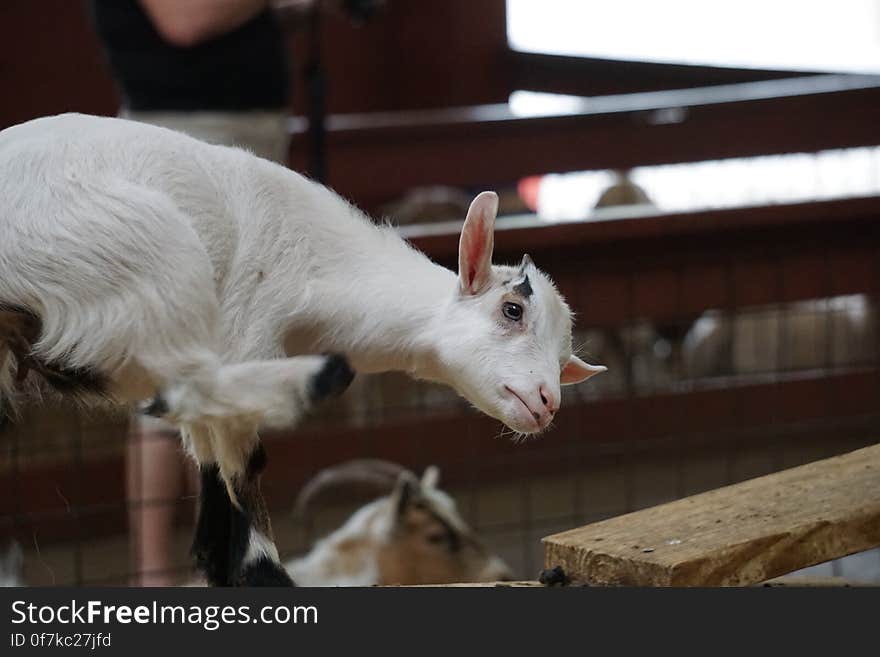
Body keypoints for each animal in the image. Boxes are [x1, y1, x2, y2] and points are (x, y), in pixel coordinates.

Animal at [0, 111, 604, 584]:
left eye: (563, 362)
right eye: (512, 309)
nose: (547, 402)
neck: (319, 271)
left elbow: (213, 492)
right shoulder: (243, 332)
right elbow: (242, 466)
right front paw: (264, 574)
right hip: (148, 254)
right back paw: (316, 382)